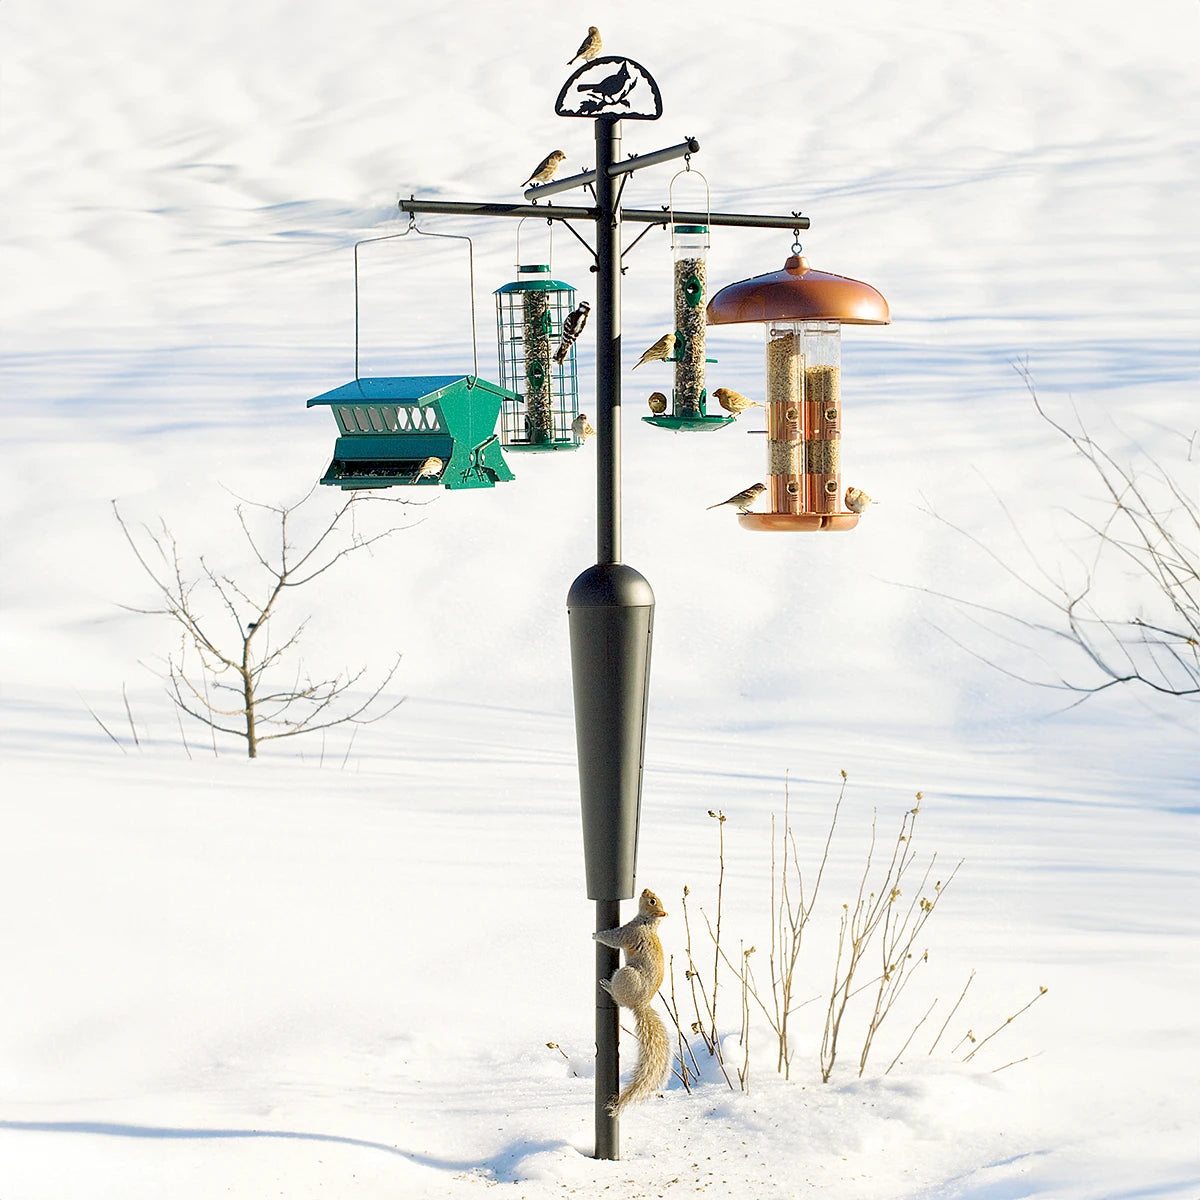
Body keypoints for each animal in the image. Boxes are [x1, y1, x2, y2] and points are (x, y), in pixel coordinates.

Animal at [593, 887, 672, 1115]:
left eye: (652, 901)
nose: (645, 890)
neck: (647, 923)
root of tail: (640, 1004)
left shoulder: (628, 933)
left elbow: (612, 937)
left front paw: (596, 935)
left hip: (626, 976)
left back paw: (607, 986)